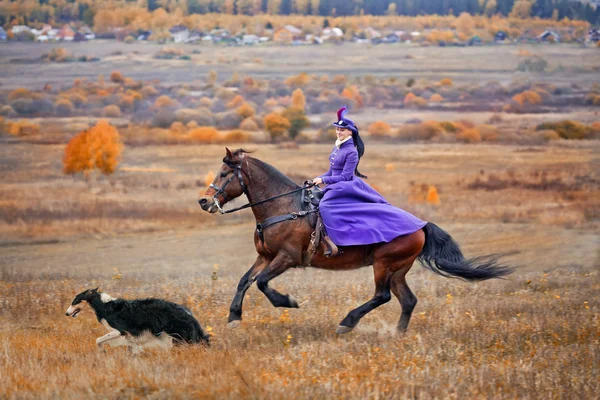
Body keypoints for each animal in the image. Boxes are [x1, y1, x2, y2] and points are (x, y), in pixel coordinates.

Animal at [65, 290, 210, 352]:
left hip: (179, 334)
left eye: (75, 301)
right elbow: (133, 348)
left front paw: (102, 351)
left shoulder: (119, 331)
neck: (104, 304)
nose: (66, 313)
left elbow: (98, 340)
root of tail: (188, 312)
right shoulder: (128, 336)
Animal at [199, 148, 512, 332]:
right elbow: (245, 280)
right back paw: (397, 333)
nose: (204, 201)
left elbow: (262, 283)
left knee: (382, 296)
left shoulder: (286, 258)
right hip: (398, 269)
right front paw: (234, 317)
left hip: (384, 264)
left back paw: (347, 322)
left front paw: (288, 302)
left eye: (225, 173)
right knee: (407, 300)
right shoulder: (264, 256)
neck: (283, 207)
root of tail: (421, 226)